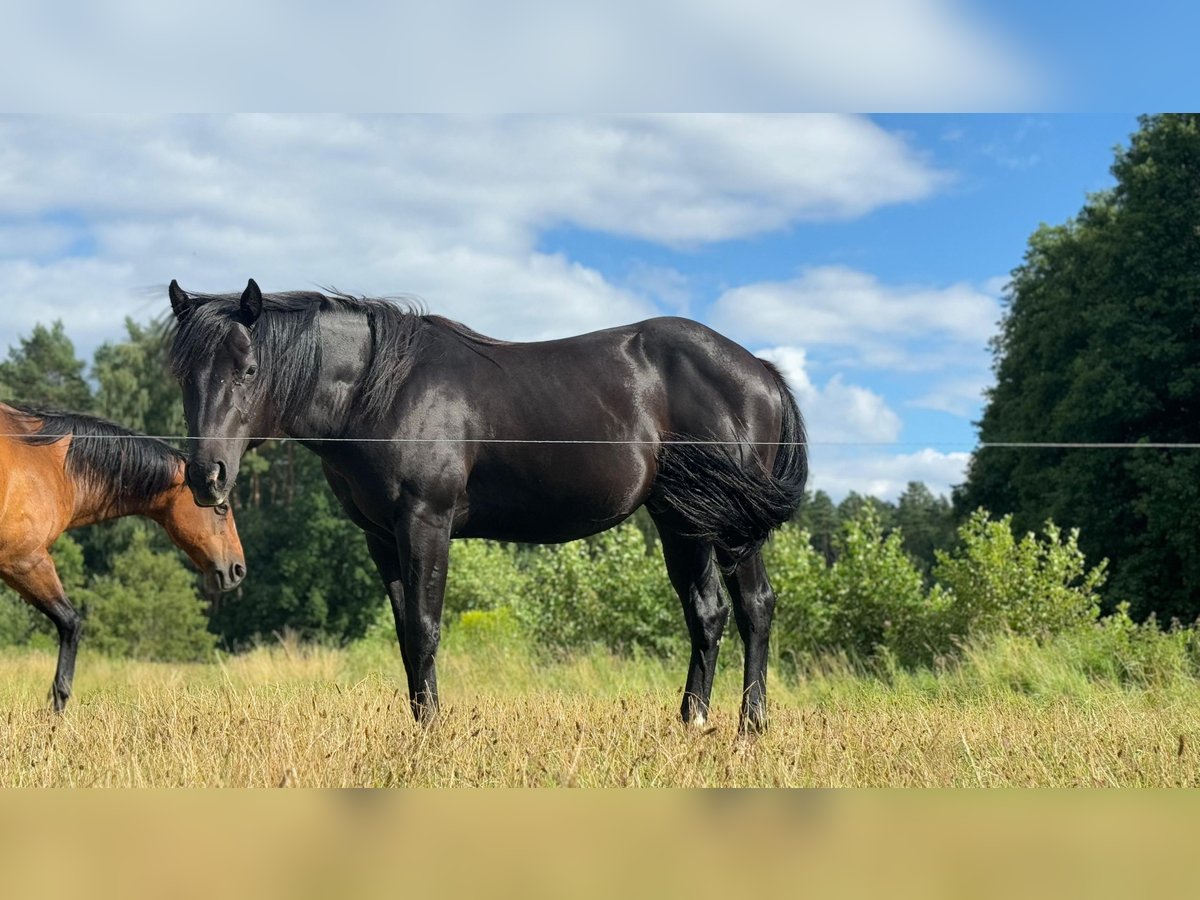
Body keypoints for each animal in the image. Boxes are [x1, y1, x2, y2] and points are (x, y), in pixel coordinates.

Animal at [166, 280, 806, 734]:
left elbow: (425, 629)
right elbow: (404, 632)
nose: (206, 475)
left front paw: (432, 733)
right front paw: (418, 727)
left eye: (249, 370)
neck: (383, 390)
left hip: (728, 526)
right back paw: (693, 721)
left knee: (754, 606)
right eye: (182, 376)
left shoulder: (424, 522)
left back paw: (750, 726)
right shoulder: (381, 537)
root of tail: (762, 371)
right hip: (682, 521)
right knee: (707, 612)